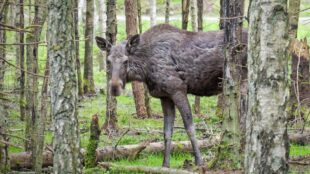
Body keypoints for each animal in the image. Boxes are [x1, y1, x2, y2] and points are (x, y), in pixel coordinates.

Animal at [95, 24, 248, 167]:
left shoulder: (178, 90)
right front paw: (165, 164)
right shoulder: (165, 96)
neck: (144, 69)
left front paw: (199, 161)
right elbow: (167, 132)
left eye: (126, 61)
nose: (114, 88)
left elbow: (190, 127)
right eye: (108, 61)